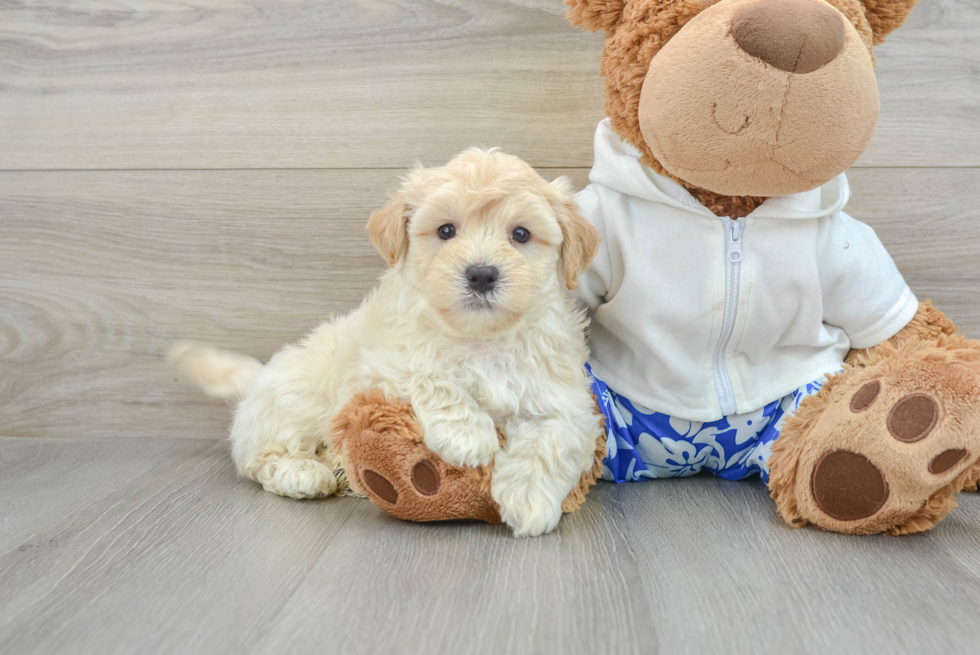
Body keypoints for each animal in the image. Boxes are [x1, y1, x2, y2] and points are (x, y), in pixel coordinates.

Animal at [177, 150, 604, 540]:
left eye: (520, 234)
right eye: (446, 231)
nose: (482, 274)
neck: (480, 337)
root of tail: (258, 376)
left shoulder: (564, 397)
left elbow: (553, 439)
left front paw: (529, 500)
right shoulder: (381, 363)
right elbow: (429, 374)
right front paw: (467, 435)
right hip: (296, 400)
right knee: (260, 457)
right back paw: (304, 473)